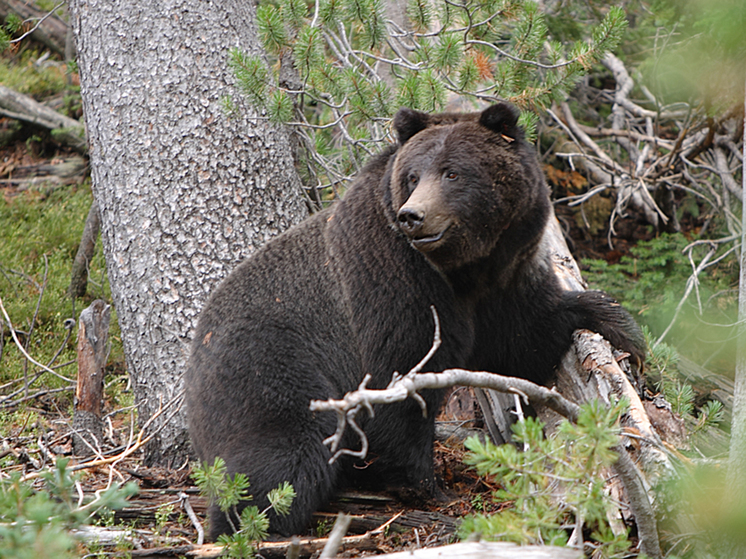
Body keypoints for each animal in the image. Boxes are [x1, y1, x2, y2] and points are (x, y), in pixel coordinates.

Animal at [183, 103, 644, 540]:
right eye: (412, 176)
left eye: (453, 172)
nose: (413, 216)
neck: (463, 270)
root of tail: (193, 360)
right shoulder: (395, 279)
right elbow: (402, 376)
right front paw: (427, 486)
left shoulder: (505, 279)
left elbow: (523, 340)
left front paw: (618, 324)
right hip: (268, 364)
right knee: (285, 452)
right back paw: (251, 523)